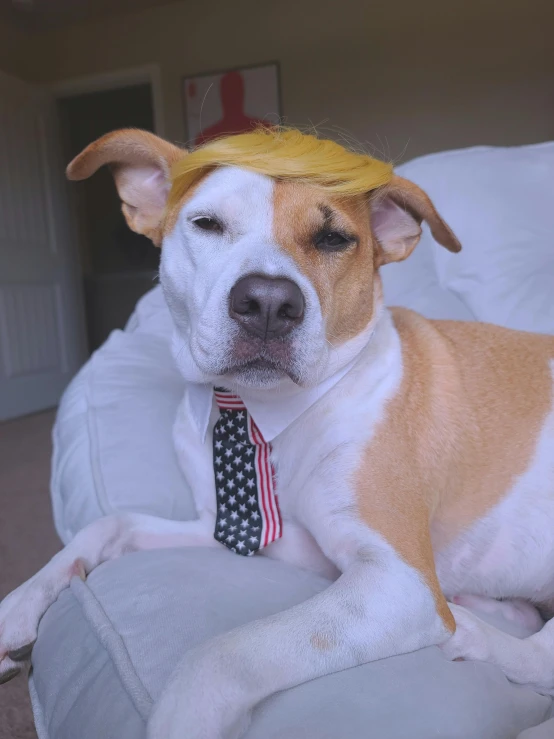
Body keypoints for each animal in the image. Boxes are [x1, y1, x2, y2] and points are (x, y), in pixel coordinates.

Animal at [1, 129, 552, 739]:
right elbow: (109, 525)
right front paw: (17, 607)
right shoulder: (247, 534)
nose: (268, 302)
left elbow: (225, 654)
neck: (261, 410)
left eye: (334, 238)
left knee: (540, 659)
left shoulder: (398, 583)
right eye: (207, 223)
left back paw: (474, 633)